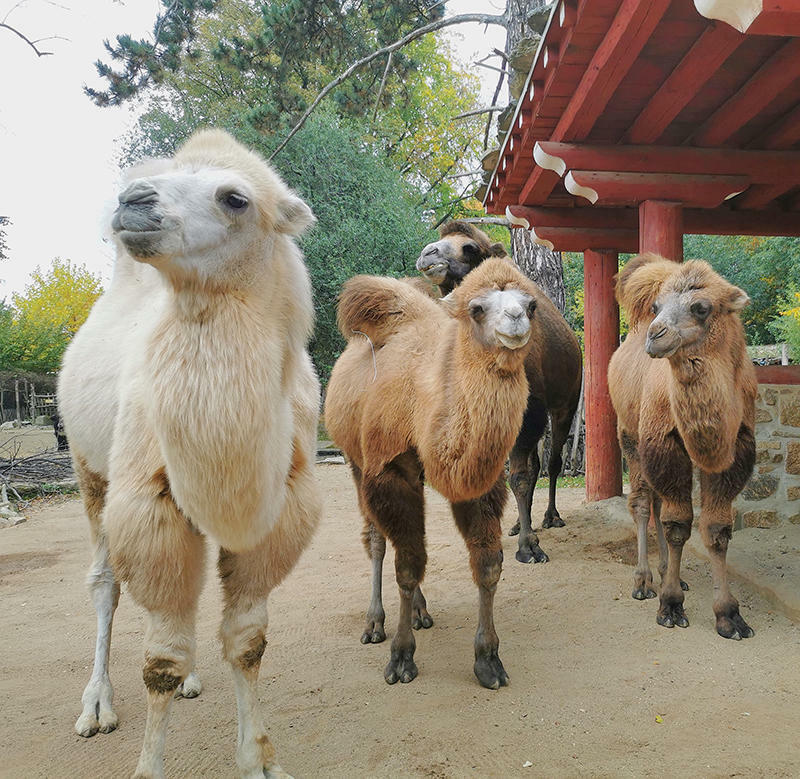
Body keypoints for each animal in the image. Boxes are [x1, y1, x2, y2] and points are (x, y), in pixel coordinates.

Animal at [58, 129, 322, 779]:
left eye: (235, 198)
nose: (132, 202)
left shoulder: (278, 513)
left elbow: (248, 642)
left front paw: (259, 760)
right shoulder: (148, 504)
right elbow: (159, 661)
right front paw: (148, 767)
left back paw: (194, 681)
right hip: (88, 469)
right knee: (105, 582)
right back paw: (95, 705)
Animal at [322, 258, 540, 688]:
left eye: (531, 304)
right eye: (477, 309)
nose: (516, 319)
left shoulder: (479, 480)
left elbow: (488, 564)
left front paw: (488, 660)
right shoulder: (387, 470)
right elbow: (405, 566)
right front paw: (401, 658)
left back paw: (421, 612)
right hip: (354, 459)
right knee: (377, 539)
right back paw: (375, 623)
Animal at [418, 222, 580, 564]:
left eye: (468, 248)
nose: (428, 253)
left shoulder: (530, 412)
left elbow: (519, 476)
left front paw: (530, 548)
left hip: (566, 402)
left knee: (552, 461)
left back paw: (550, 517)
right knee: (535, 465)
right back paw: (519, 523)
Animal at [612, 251, 756, 640]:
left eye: (701, 307)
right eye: (657, 306)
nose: (655, 334)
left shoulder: (733, 449)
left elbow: (717, 530)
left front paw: (730, 616)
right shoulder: (663, 441)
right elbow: (678, 525)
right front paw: (671, 605)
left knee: (659, 502)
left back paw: (666, 573)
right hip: (630, 435)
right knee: (643, 503)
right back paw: (645, 582)